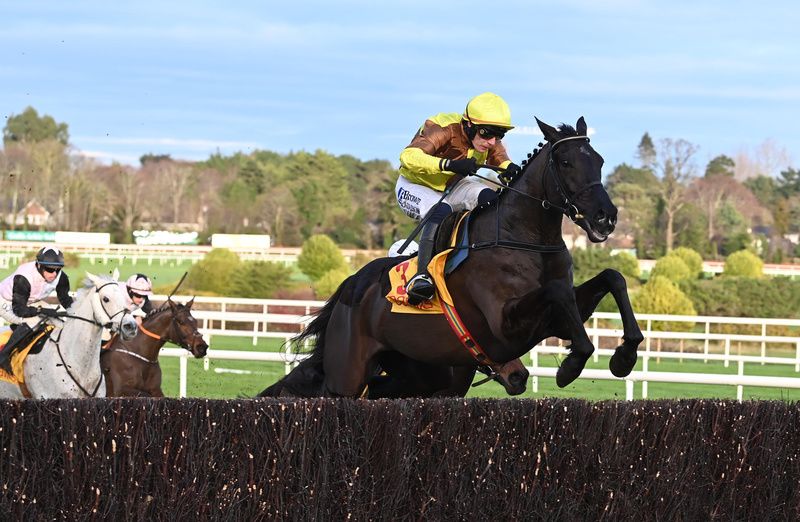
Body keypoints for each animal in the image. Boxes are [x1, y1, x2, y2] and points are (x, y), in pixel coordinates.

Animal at [260, 116, 644, 396]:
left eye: (599, 161)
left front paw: (624, 356)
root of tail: (351, 285)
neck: (527, 241)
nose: (605, 217)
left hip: (421, 371)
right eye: (565, 162)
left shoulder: (551, 320)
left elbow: (612, 277)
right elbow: (557, 291)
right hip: (348, 375)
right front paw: (572, 364)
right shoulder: (504, 326)